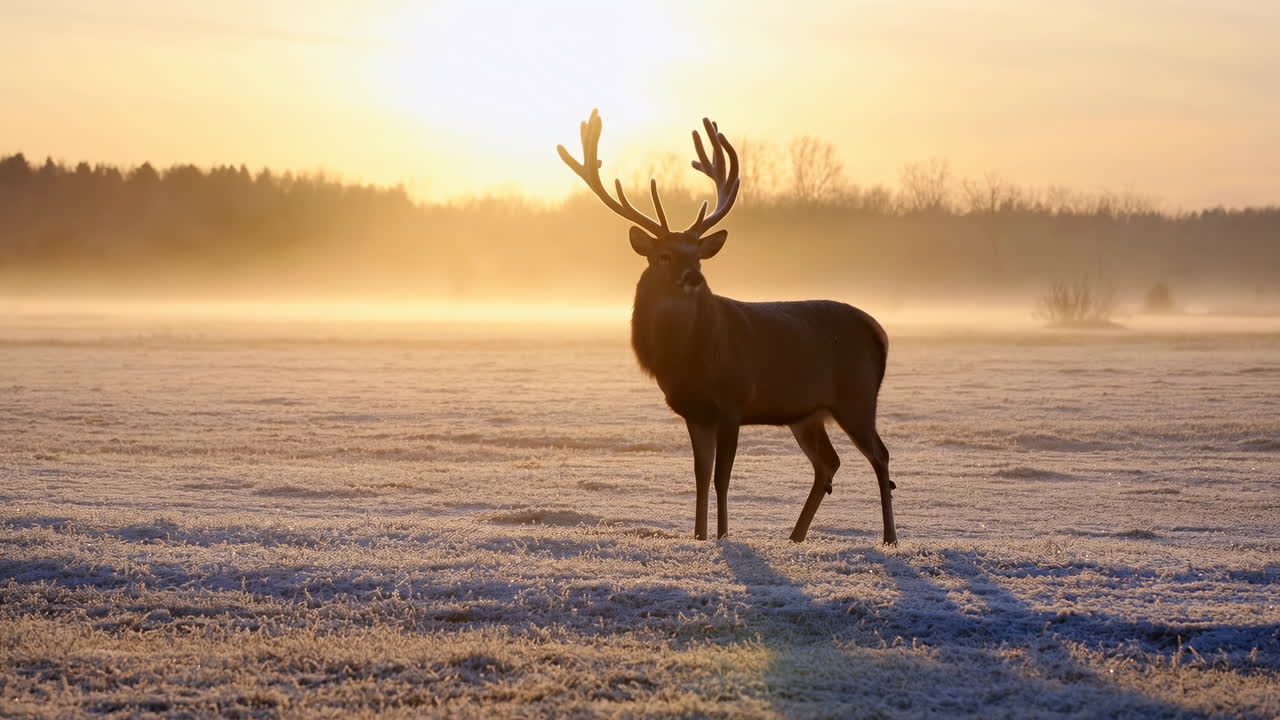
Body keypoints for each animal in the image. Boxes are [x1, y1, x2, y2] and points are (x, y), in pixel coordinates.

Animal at [557, 109, 897, 545]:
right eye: (664, 255)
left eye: (698, 257)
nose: (693, 278)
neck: (687, 362)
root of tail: (879, 332)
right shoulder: (694, 411)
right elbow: (701, 478)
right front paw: (700, 537)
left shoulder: (734, 399)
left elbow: (722, 479)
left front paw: (722, 537)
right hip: (807, 412)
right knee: (828, 462)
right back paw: (795, 536)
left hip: (857, 395)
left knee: (879, 455)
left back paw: (889, 537)